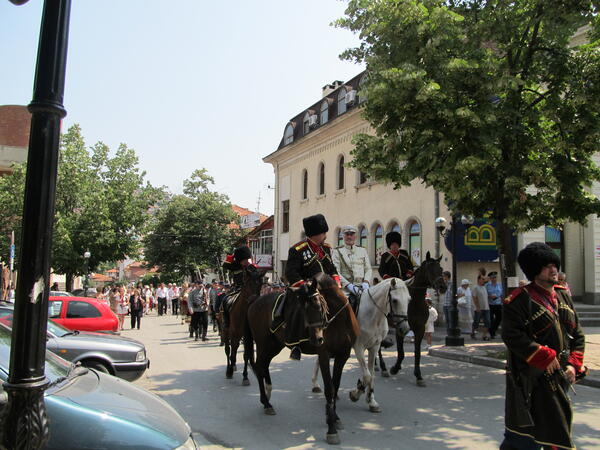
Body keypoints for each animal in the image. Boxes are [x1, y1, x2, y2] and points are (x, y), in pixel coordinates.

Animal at [246, 272, 358, 444]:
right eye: (302, 310)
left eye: (319, 306)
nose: (317, 339)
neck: (339, 320)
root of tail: (256, 300)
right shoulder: (324, 355)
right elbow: (329, 389)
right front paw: (331, 429)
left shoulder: (343, 355)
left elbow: (336, 386)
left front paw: (335, 417)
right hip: (263, 343)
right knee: (259, 367)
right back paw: (266, 403)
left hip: (274, 345)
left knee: (263, 366)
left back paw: (268, 395)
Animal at [310, 278, 412, 412]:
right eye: (395, 300)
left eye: (409, 299)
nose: (405, 329)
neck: (374, 315)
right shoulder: (359, 346)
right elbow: (367, 376)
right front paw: (355, 394)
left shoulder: (375, 347)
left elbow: (371, 374)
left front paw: (371, 400)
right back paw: (316, 384)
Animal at [380, 251, 446, 384]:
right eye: (430, 269)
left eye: (441, 269)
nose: (443, 287)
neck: (414, 302)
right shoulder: (400, 329)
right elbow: (401, 352)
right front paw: (395, 368)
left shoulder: (420, 329)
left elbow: (417, 352)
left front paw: (418, 375)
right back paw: (383, 367)